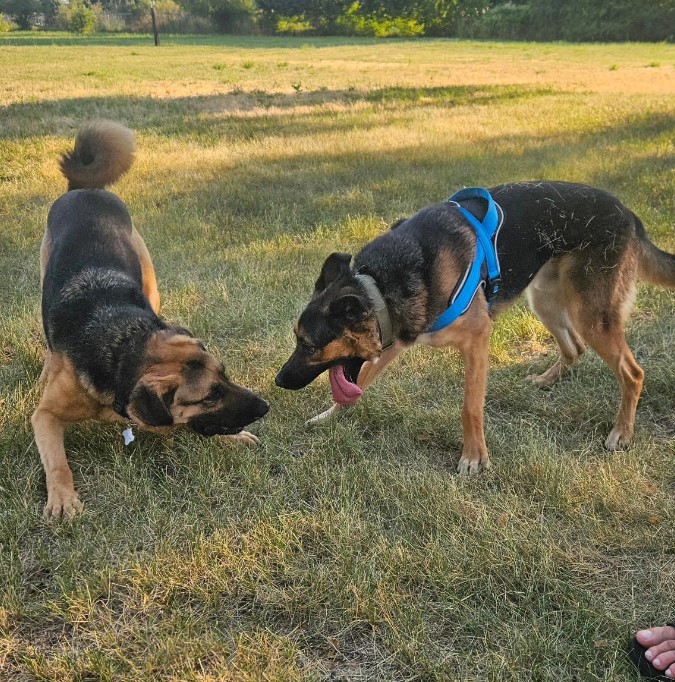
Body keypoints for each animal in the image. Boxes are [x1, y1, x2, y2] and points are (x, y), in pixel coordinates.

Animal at [32, 121, 270, 516]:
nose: (265, 407)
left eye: (226, 374)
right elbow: (57, 461)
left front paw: (235, 437)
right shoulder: (45, 416)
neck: (123, 346)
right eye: (209, 395)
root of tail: (84, 189)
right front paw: (63, 498)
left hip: (148, 275)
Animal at [276, 178, 675, 470]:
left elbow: (470, 406)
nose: (278, 381)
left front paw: (473, 458)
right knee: (574, 347)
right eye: (297, 339)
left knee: (632, 373)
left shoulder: (477, 339)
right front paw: (328, 417)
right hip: (545, 301)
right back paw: (546, 379)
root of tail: (629, 214)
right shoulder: (394, 341)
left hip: (591, 317)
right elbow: (358, 385)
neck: (382, 285)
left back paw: (621, 433)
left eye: (309, 345)